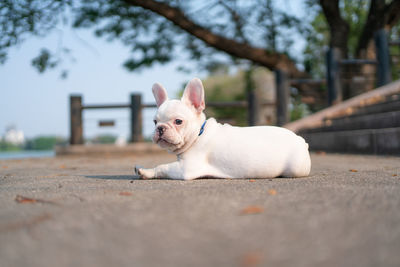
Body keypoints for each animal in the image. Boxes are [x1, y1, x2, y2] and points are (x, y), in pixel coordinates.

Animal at [136, 78, 310, 181]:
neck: (199, 135)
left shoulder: (186, 169)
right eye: (155, 122)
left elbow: (162, 167)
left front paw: (146, 172)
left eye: (178, 121)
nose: (160, 128)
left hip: (295, 168)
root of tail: (301, 140)